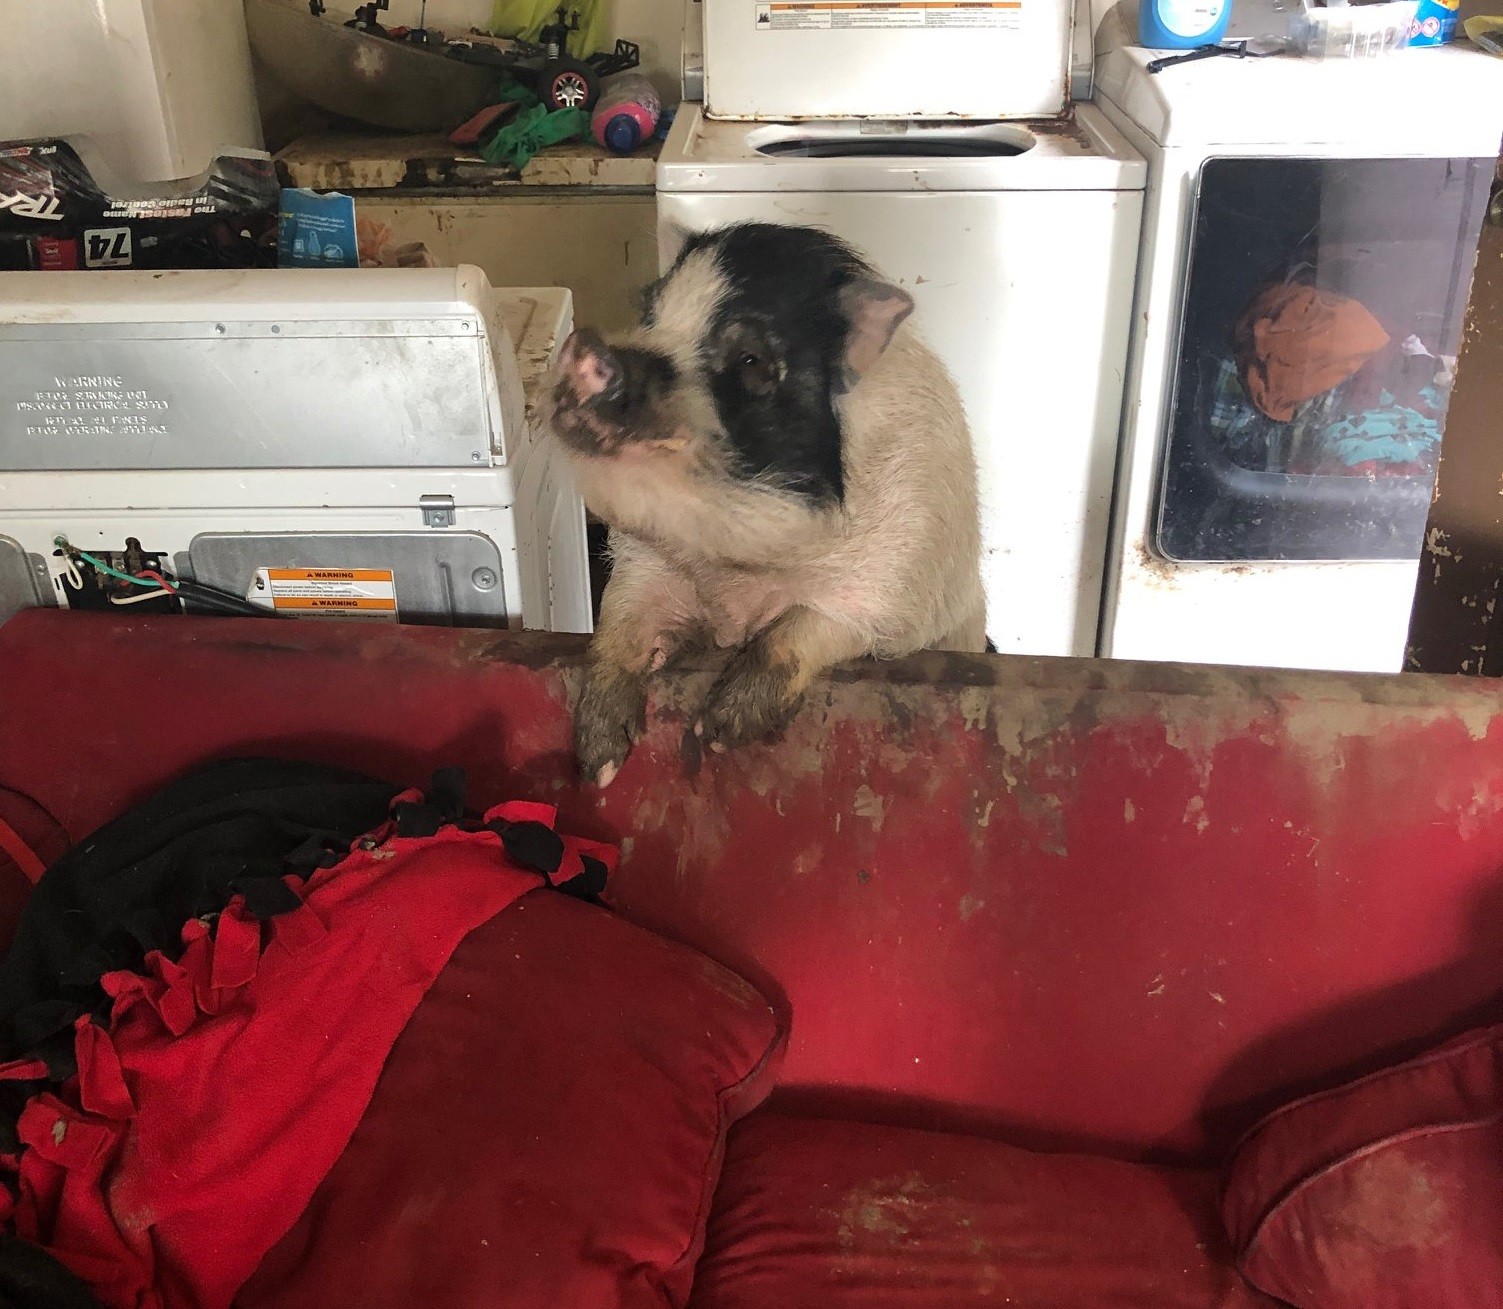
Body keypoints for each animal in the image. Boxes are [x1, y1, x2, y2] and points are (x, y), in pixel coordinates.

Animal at [544, 222, 987, 787]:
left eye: (750, 360)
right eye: (649, 318)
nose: (586, 345)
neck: (738, 568)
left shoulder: (897, 581)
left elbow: (812, 623)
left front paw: (715, 731)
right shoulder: (645, 560)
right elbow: (622, 620)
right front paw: (599, 766)